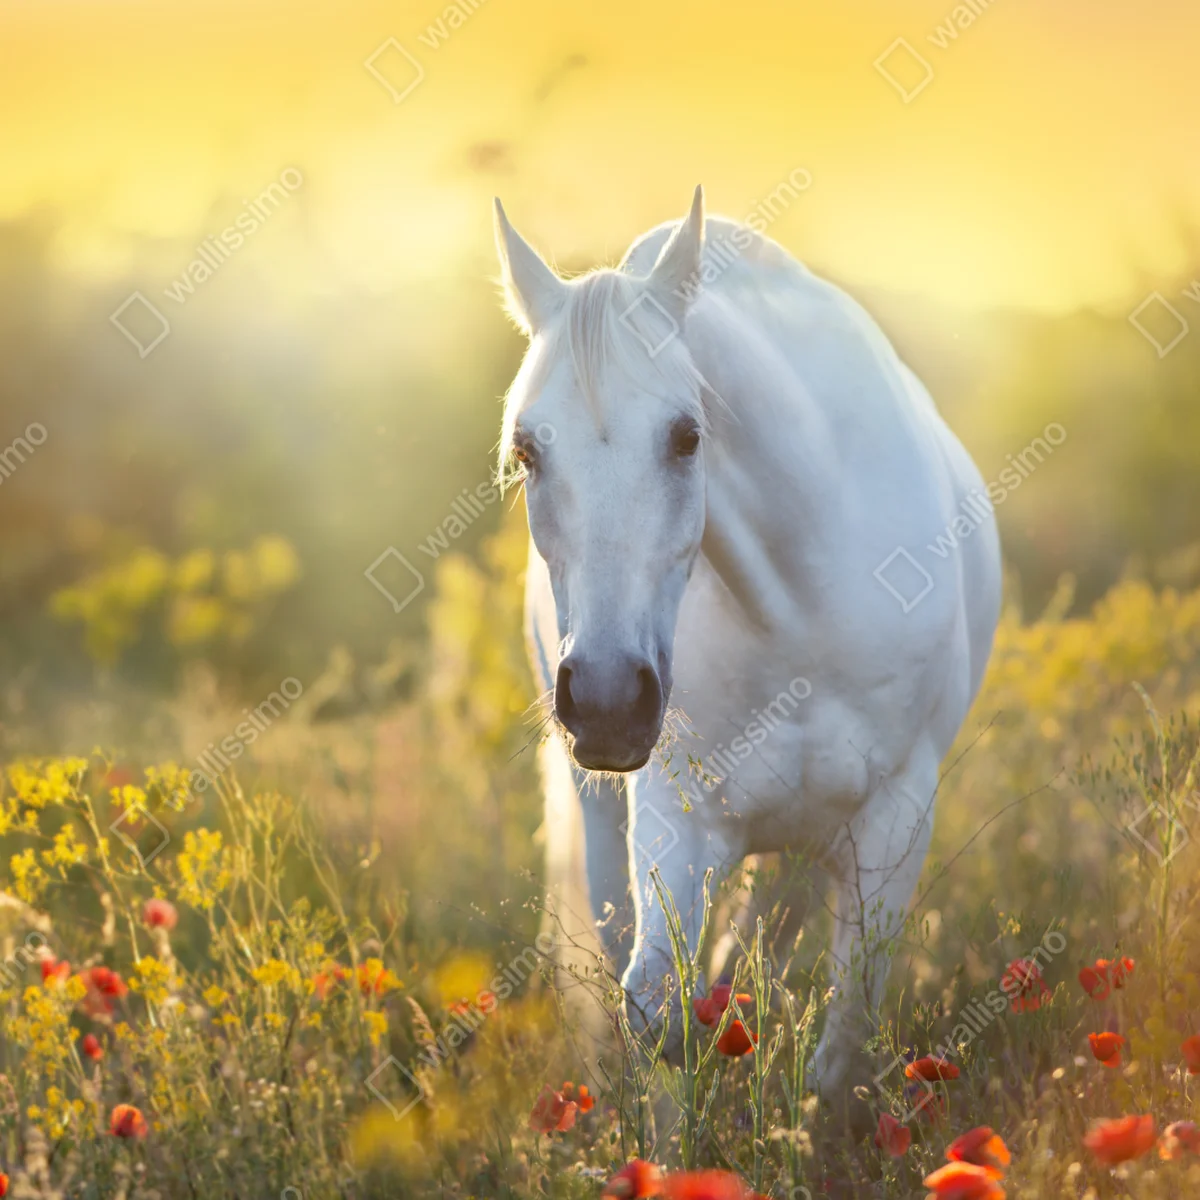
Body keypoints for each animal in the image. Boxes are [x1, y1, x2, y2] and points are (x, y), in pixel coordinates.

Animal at [492, 186, 1001, 1110]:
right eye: (526, 448)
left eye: (687, 435)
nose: (609, 701)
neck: (798, 608)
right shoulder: (675, 813)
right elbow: (657, 1009)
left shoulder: (896, 817)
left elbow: (844, 1036)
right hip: (604, 811)